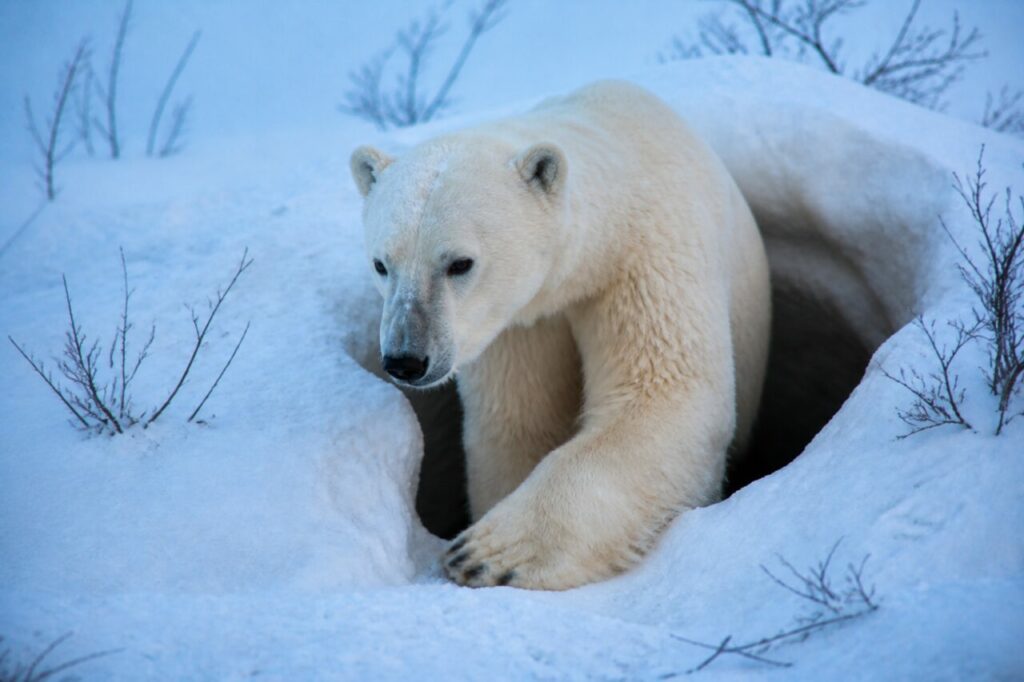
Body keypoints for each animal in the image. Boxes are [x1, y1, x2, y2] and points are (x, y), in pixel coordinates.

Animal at [349, 80, 771, 590]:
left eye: (459, 263)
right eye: (381, 264)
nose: (406, 359)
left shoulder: (648, 255)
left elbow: (666, 397)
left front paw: (484, 554)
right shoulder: (520, 324)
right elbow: (519, 425)